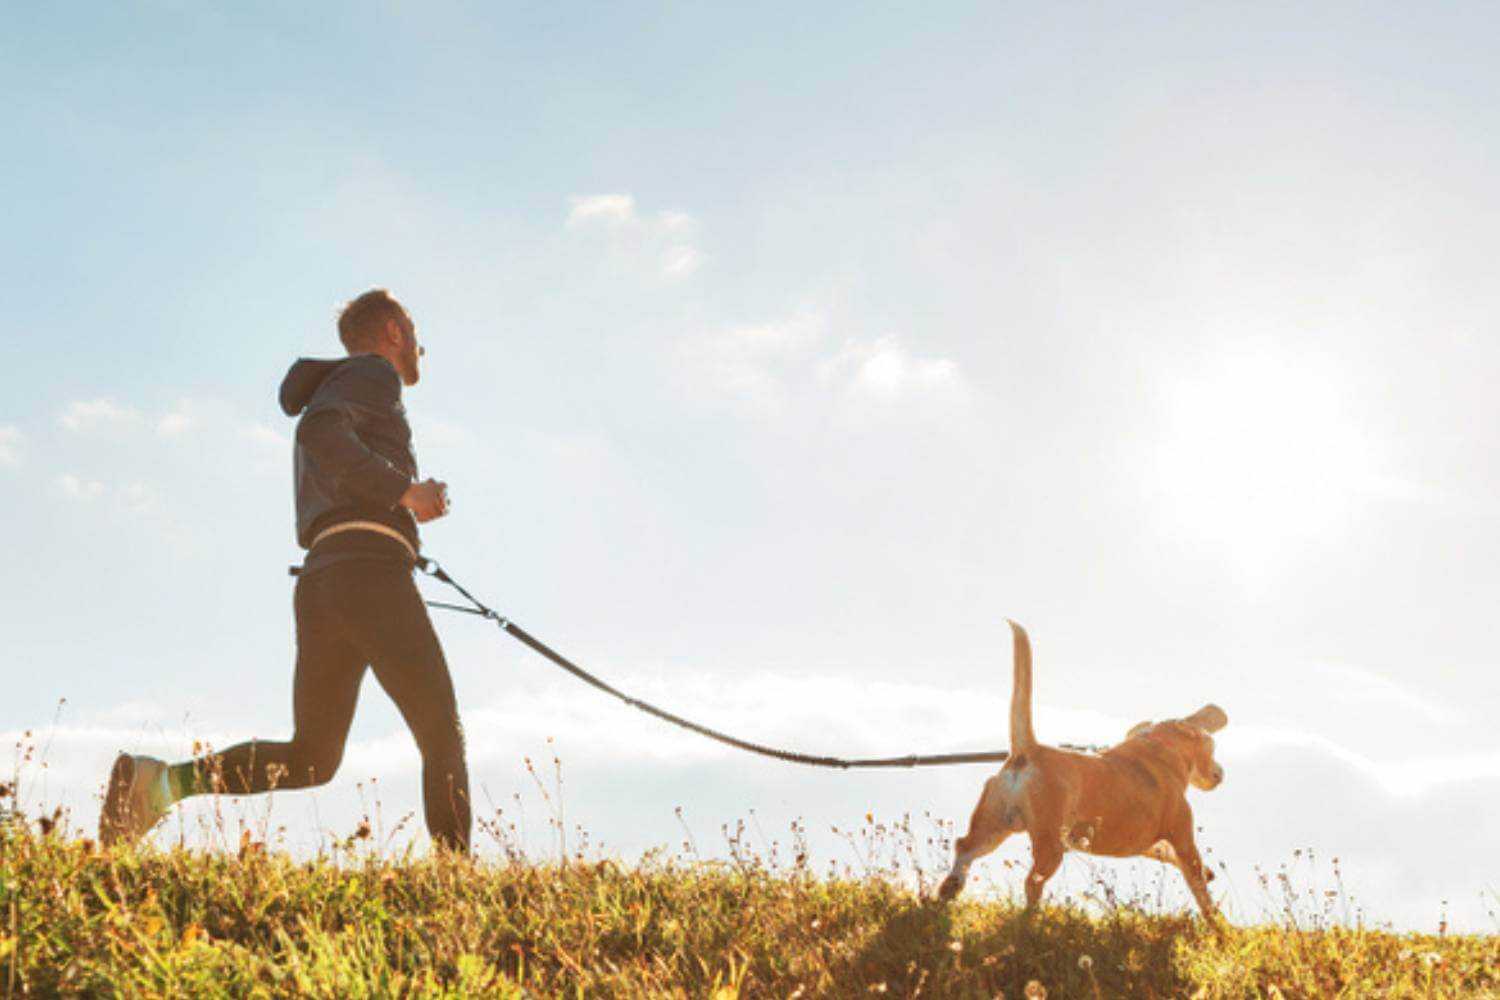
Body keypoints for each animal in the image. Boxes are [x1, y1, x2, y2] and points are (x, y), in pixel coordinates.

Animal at [942, 617, 1224, 923]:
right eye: (1211, 745)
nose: (1220, 774)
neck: (1159, 749)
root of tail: (1028, 749)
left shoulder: (1150, 843)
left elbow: (1169, 856)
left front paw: (1209, 874)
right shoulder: (1182, 838)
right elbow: (1200, 889)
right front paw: (1218, 925)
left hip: (993, 825)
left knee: (964, 849)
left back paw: (946, 894)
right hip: (1050, 844)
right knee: (1032, 882)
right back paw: (1030, 920)